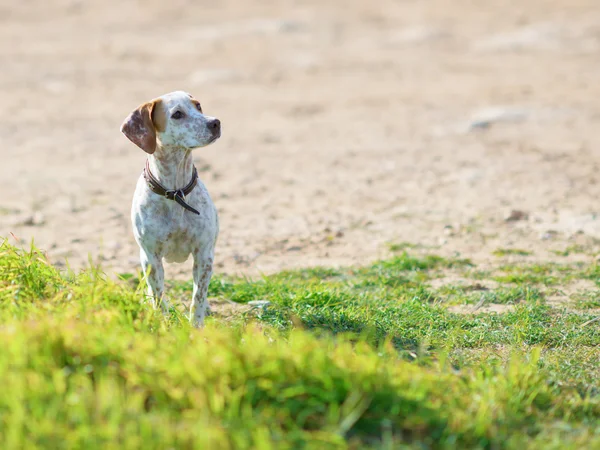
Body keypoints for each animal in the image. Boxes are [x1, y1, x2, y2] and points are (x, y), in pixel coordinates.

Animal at [119, 89, 220, 326]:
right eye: (177, 114)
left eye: (198, 106)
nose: (215, 123)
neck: (176, 192)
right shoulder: (151, 258)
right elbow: (158, 295)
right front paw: (162, 323)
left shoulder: (204, 254)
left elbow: (198, 297)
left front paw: (196, 326)